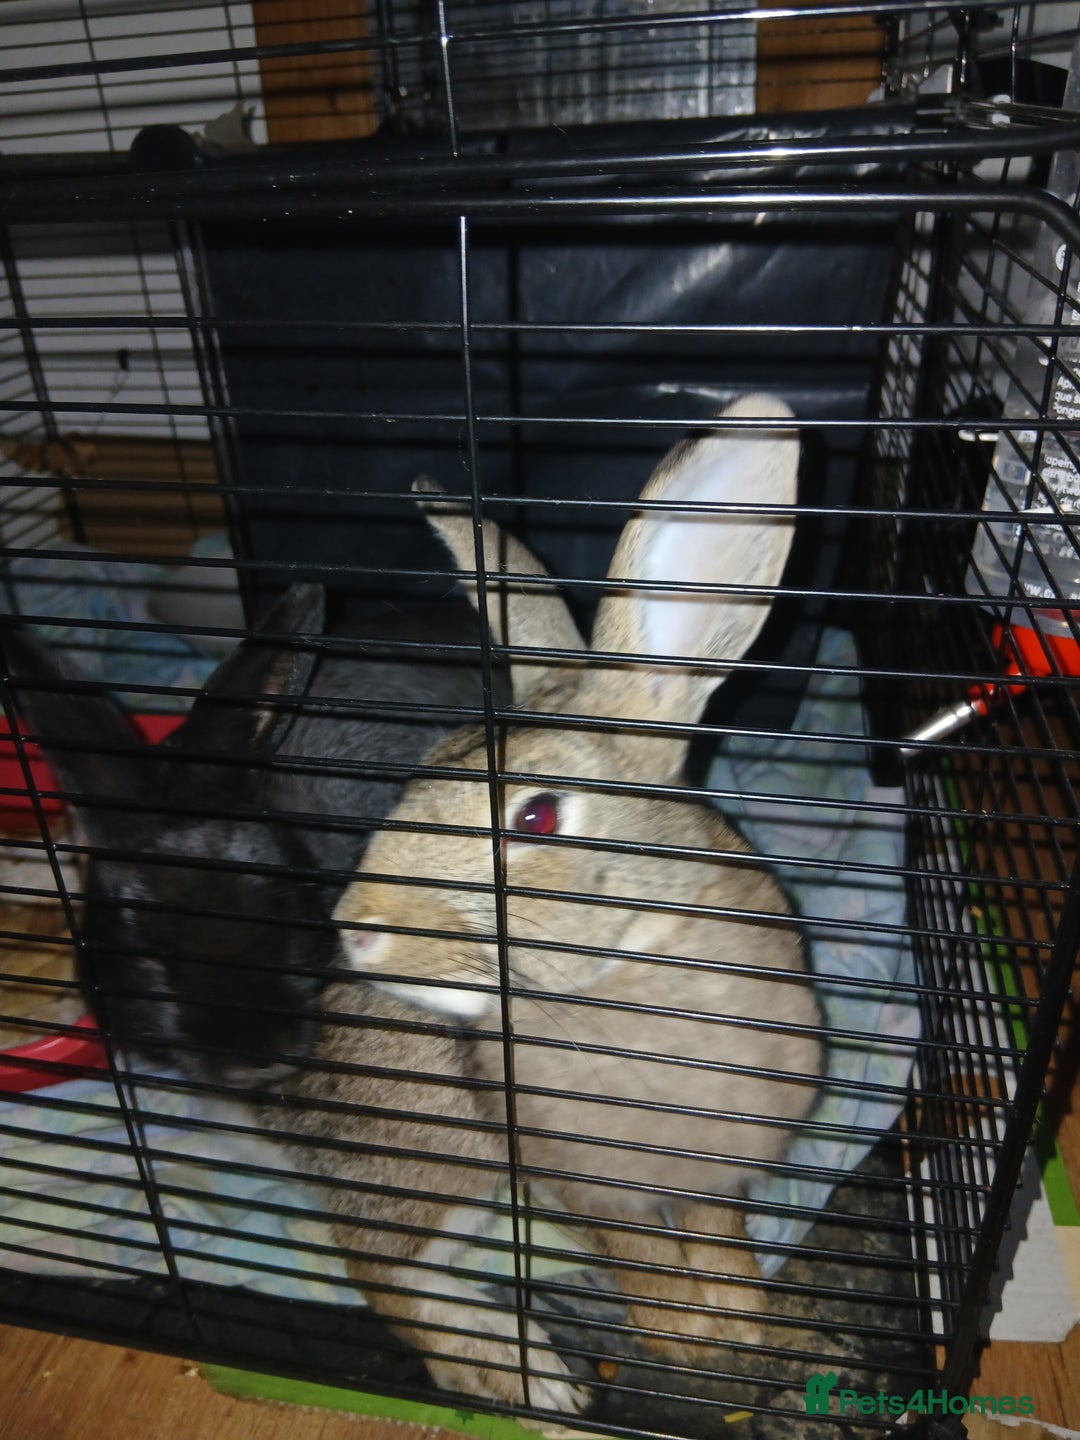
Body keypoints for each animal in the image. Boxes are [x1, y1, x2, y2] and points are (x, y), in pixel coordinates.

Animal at [329, 394, 826, 1369]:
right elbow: (637, 1258)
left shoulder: (716, 1168)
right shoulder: (579, 1180)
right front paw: (686, 1340)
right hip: (448, 1154)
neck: (630, 966)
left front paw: (740, 1320)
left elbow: (713, 1232)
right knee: (381, 1269)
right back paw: (526, 1375)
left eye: (537, 820)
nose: (356, 927)